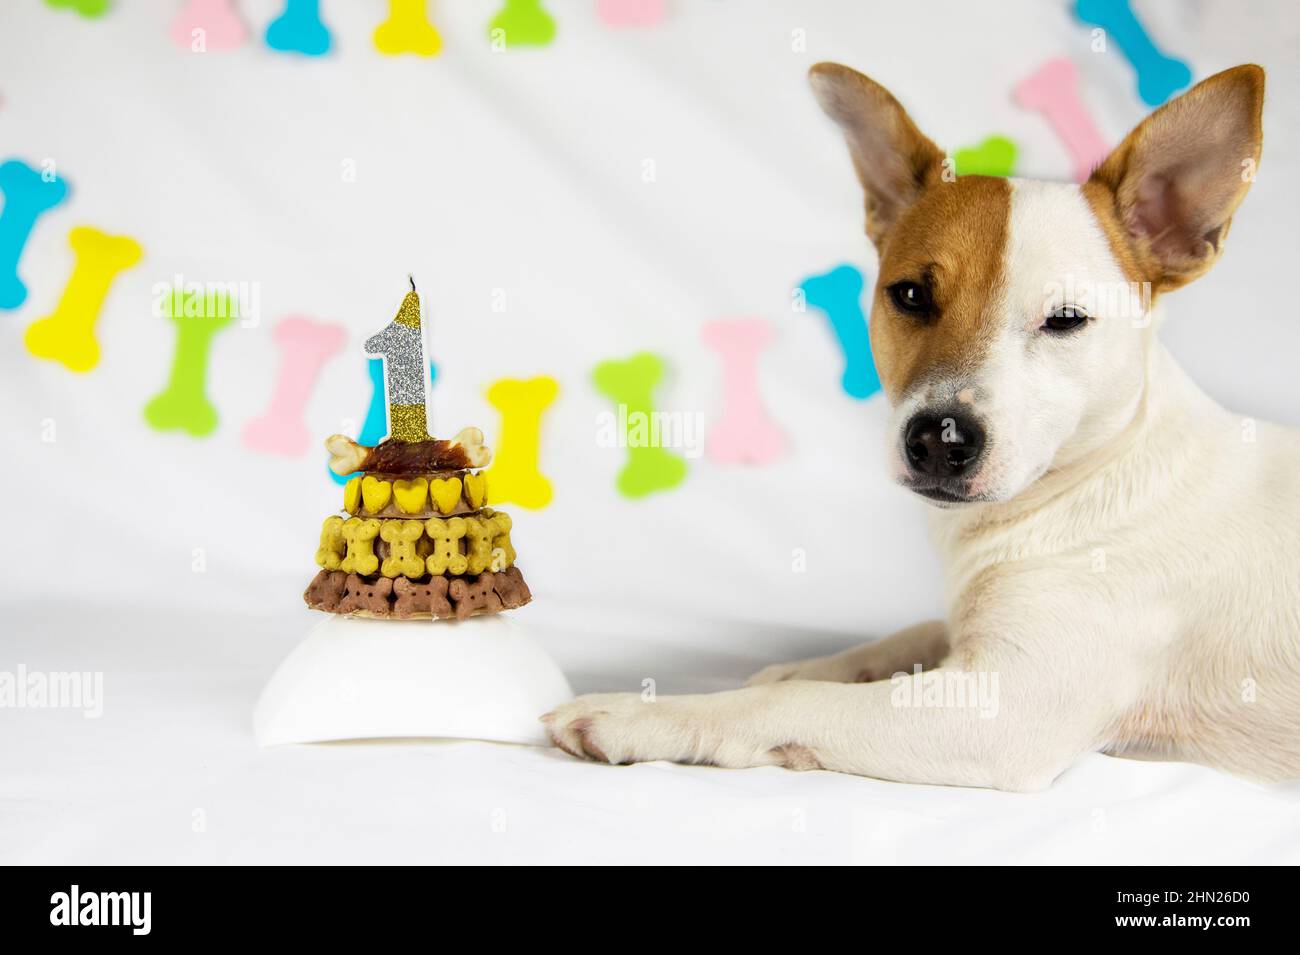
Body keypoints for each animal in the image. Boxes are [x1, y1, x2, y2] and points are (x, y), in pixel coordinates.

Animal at [540, 61, 1300, 789]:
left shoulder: (1004, 709)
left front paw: (643, 713)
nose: (941, 438)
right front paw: (816, 662)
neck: (1098, 471)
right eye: (909, 294)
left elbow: (790, 704)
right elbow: (911, 631)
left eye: (1065, 320)